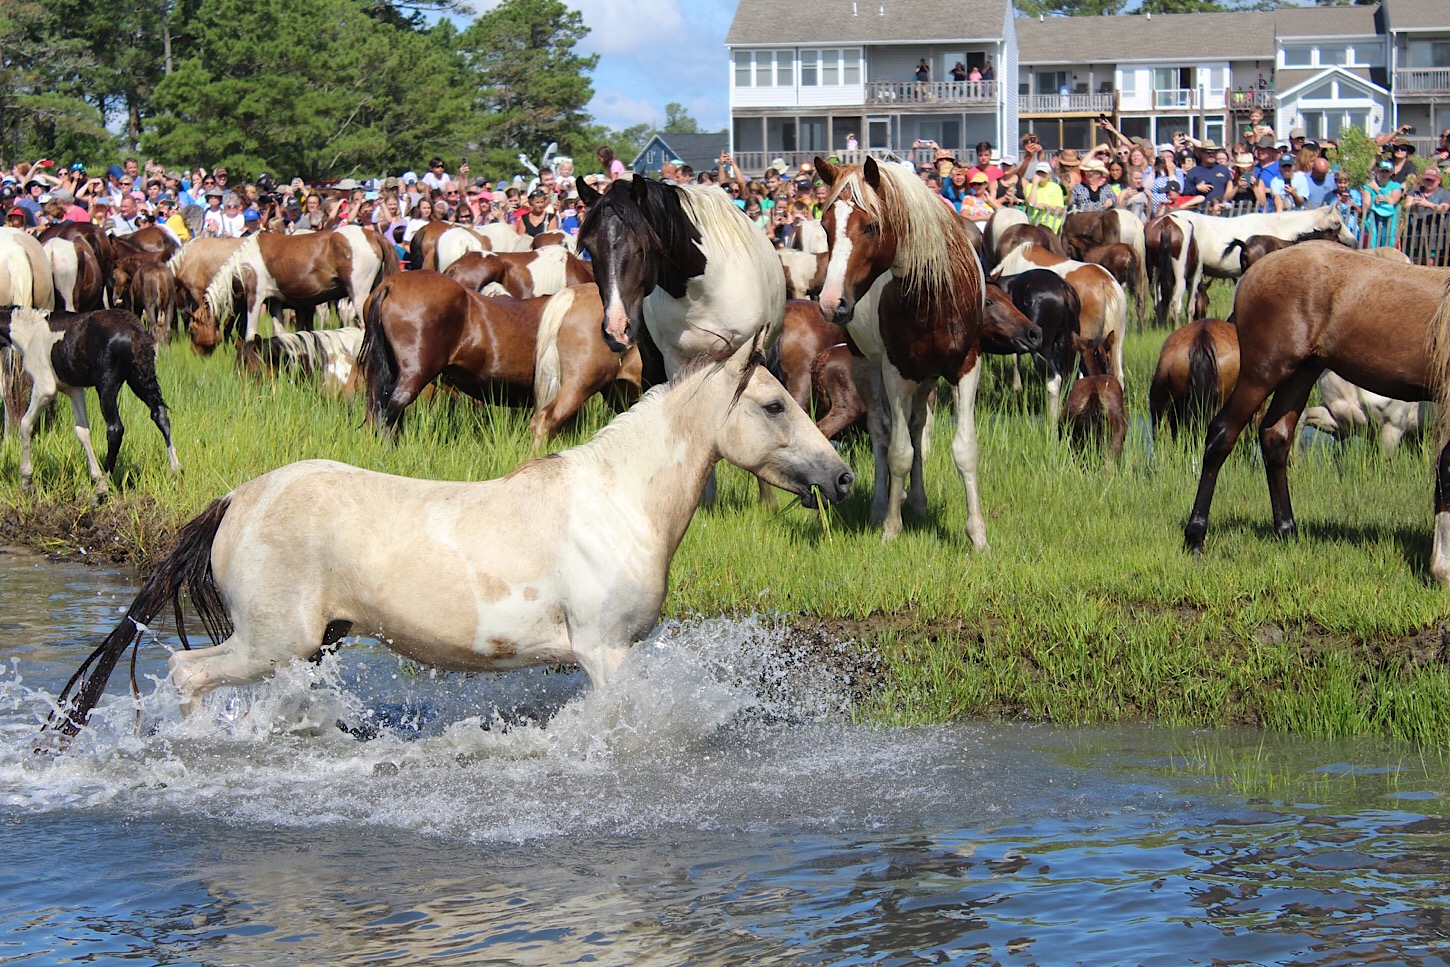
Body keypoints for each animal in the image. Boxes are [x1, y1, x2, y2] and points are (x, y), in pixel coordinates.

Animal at [0, 305, 179, 495]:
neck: (30, 332)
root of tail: (135, 330)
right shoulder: (74, 390)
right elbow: (82, 431)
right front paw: (95, 477)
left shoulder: (44, 389)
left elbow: (25, 424)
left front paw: (26, 480)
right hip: (140, 378)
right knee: (160, 416)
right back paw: (176, 471)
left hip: (107, 386)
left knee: (115, 428)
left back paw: (104, 486)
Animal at [51, 339, 852, 742]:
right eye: (774, 404)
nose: (843, 477)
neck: (620, 501)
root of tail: (235, 500)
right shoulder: (605, 652)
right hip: (270, 643)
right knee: (187, 674)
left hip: (311, 646)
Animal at [204, 227, 388, 343]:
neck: (244, 263)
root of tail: (371, 235)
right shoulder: (275, 302)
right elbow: (280, 332)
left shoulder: (255, 296)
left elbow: (250, 333)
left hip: (358, 296)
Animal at [817, 152, 997, 545]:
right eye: (825, 226)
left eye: (870, 226)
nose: (831, 303)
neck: (935, 297)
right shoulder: (895, 371)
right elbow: (898, 452)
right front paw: (890, 528)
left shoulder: (966, 367)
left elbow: (964, 449)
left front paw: (978, 535)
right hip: (867, 366)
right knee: (882, 432)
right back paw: (881, 506)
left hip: (925, 376)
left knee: (916, 426)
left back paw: (916, 500)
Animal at [1183, 246, 1450, 585]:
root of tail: (1254, 272)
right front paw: (1442, 567)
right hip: (1262, 373)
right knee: (1222, 435)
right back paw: (1195, 537)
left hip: (1301, 372)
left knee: (1276, 438)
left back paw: (1286, 531)